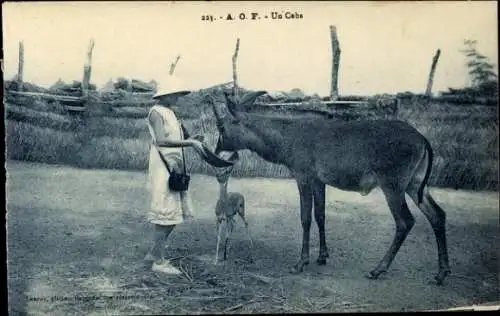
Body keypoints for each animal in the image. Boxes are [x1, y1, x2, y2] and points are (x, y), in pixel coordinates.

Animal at [209, 90, 452, 286]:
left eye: (221, 126)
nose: (216, 153)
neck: (288, 135)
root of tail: (421, 138)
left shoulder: (304, 177)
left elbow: (306, 217)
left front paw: (301, 262)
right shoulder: (319, 181)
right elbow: (321, 215)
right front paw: (322, 256)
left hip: (393, 186)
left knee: (405, 221)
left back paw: (378, 269)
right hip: (415, 185)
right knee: (437, 214)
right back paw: (441, 273)